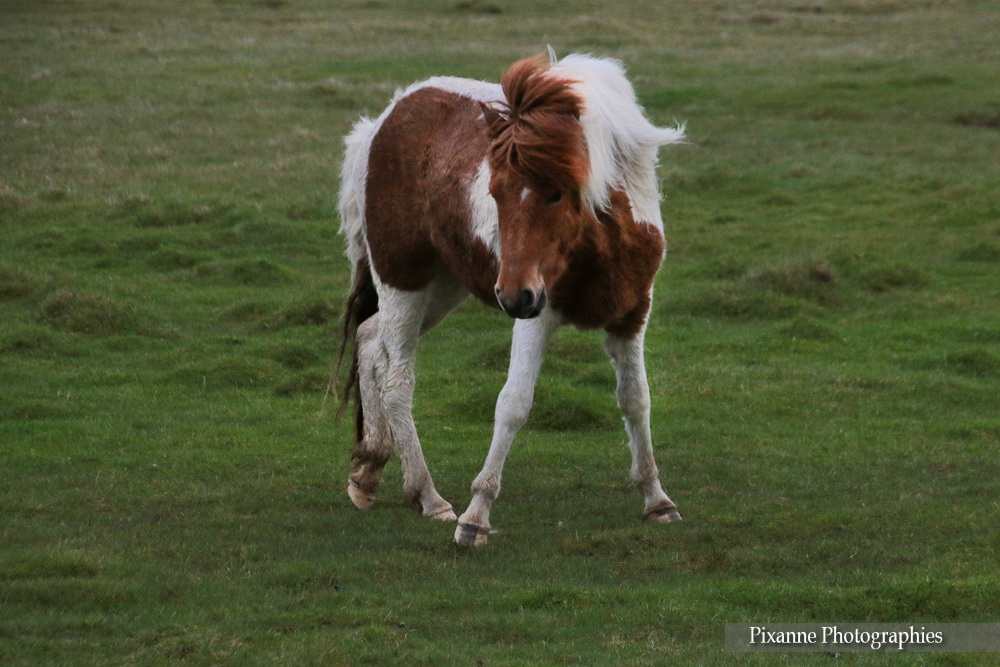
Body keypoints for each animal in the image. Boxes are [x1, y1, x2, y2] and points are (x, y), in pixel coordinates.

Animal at [337, 51, 685, 546]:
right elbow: (514, 405)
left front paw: (657, 500)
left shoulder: (632, 312)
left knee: (369, 342)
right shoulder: (537, 315)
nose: (512, 296)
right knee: (397, 380)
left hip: (444, 284)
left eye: (557, 193)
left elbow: (636, 398)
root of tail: (384, 121)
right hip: (405, 280)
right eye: (495, 192)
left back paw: (369, 472)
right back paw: (429, 496)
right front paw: (475, 517)